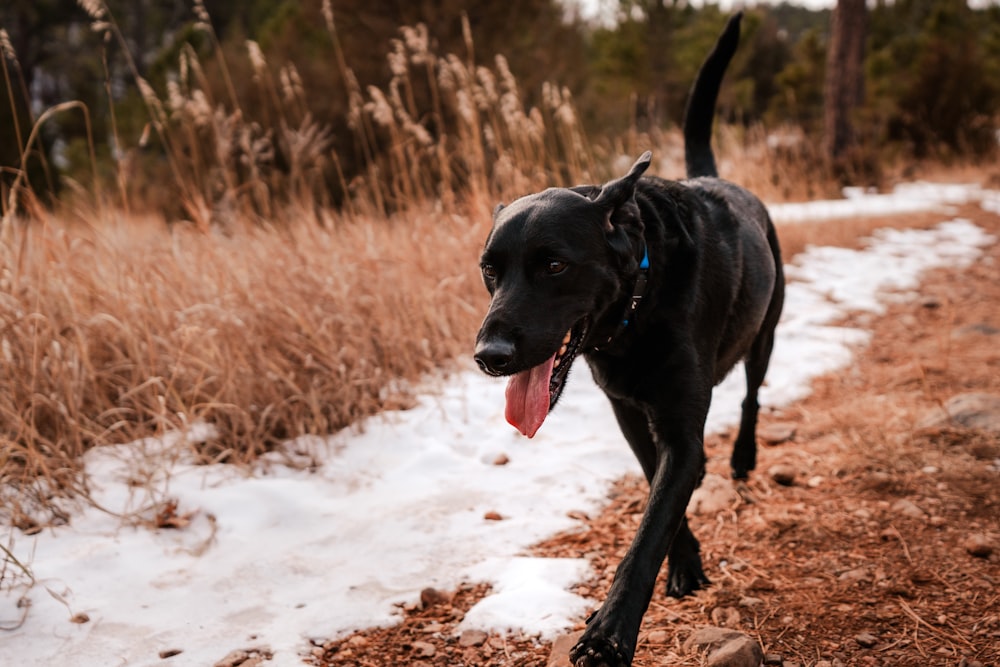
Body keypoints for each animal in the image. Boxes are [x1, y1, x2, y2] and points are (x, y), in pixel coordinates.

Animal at [472, 14, 784, 667]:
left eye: (555, 266)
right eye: (490, 270)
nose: (490, 358)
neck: (638, 306)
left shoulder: (682, 433)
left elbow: (646, 535)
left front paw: (608, 634)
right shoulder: (629, 415)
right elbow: (657, 501)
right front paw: (685, 563)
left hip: (765, 332)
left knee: (751, 395)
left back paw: (744, 457)